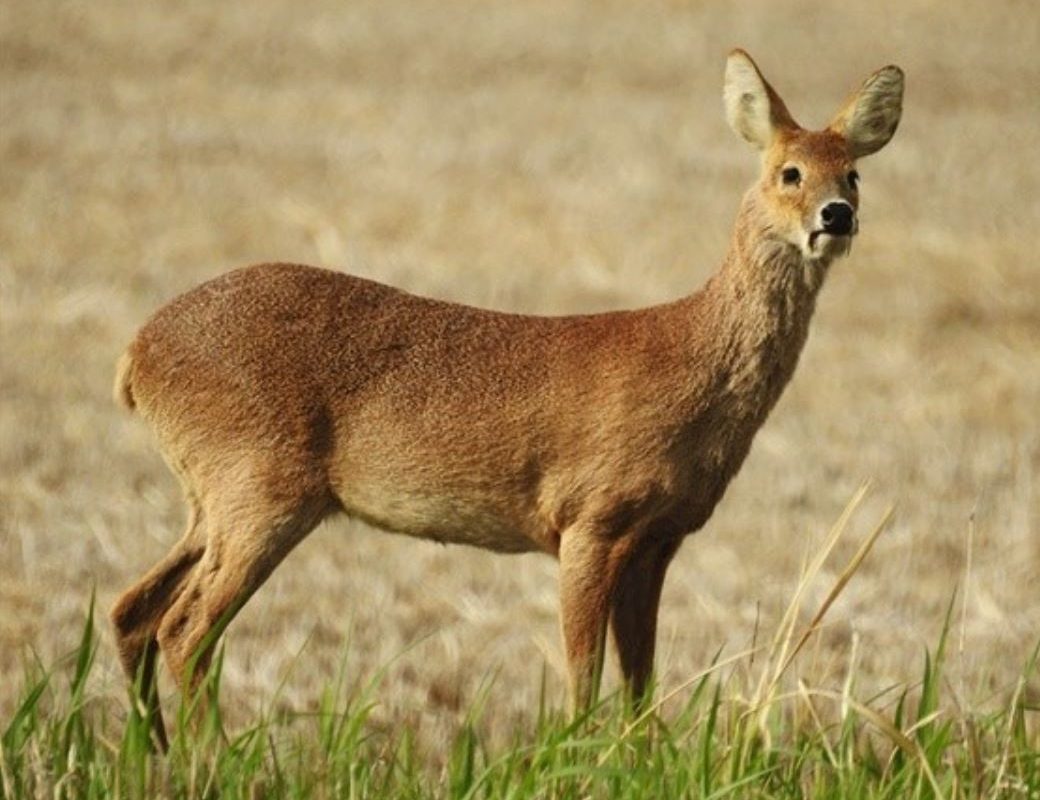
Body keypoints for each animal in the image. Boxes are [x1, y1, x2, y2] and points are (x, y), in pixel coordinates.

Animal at [110, 50, 903, 750]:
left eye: (854, 173)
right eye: (788, 172)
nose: (835, 216)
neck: (689, 361)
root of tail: (137, 354)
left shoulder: (660, 537)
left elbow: (641, 684)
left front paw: (638, 762)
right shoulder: (589, 518)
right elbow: (584, 679)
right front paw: (576, 761)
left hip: (212, 494)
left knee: (133, 609)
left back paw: (154, 753)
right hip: (259, 484)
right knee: (185, 627)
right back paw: (214, 757)